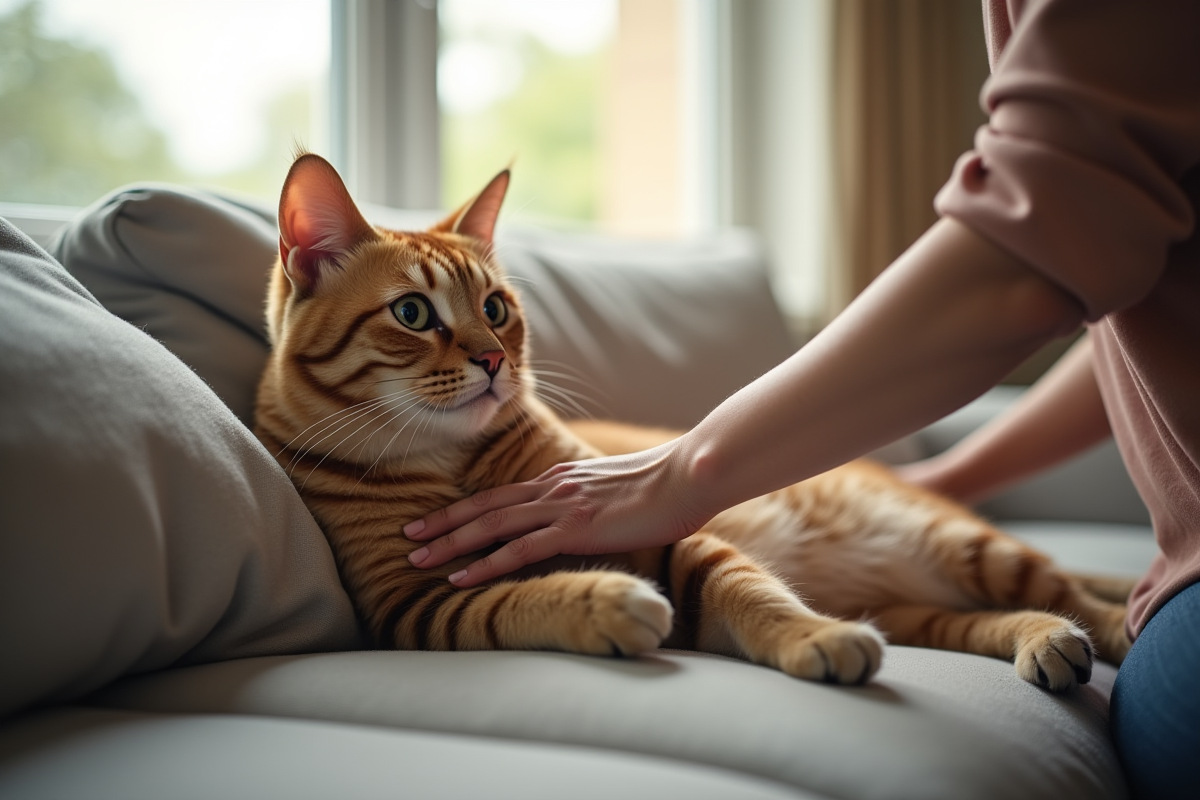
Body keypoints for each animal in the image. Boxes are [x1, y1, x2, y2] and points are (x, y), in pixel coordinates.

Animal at [258, 153, 1128, 690]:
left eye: (496, 309)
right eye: (413, 313)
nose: (494, 360)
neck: (453, 460)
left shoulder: (668, 534)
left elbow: (753, 591)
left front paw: (812, 636)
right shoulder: (411, 605)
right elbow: (509, 603)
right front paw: (601, 600)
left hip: (968, 547)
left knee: (1085, 595)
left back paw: (1107, 626)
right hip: (923, 605)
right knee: (995, 619)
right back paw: (1047, 643)